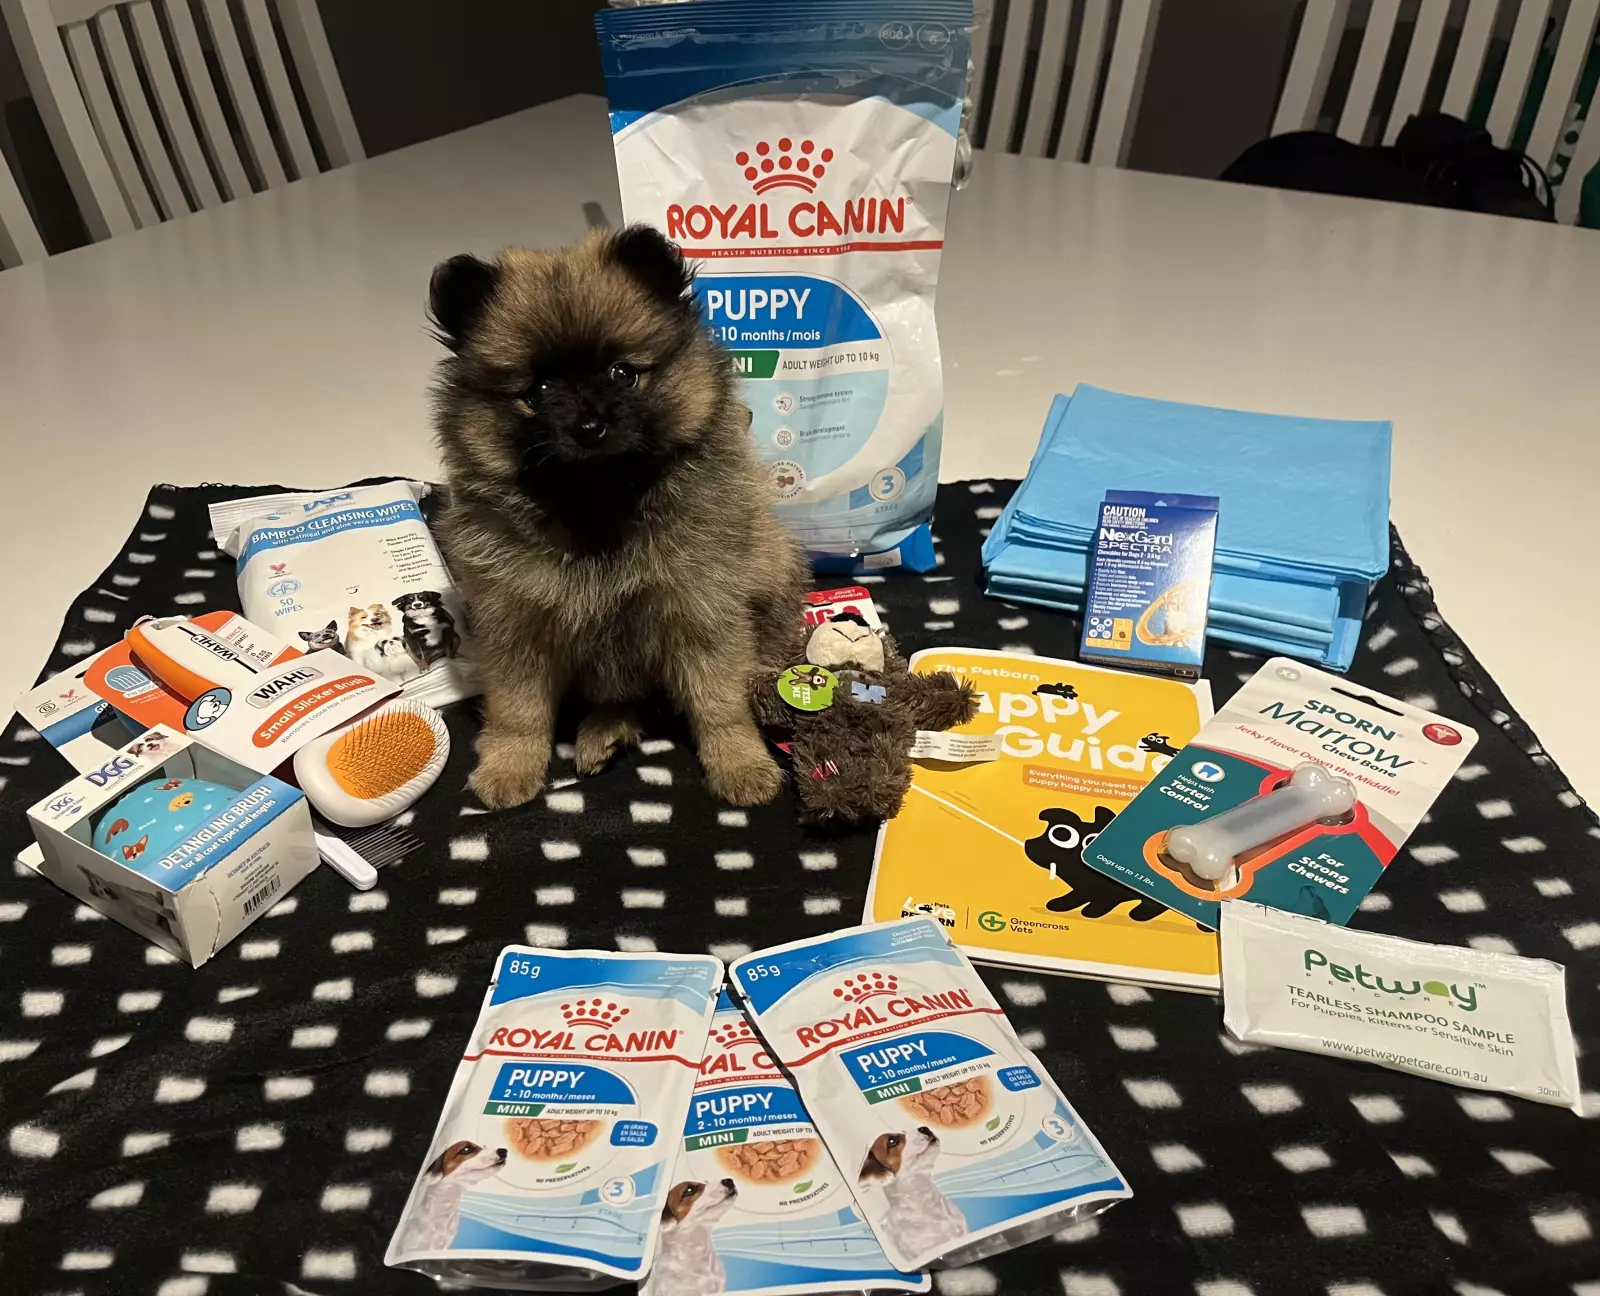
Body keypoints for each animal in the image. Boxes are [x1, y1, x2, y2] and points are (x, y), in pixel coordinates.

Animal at [429, 225, 809, 810]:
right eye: (538, 391)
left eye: (623, 374)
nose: (590, 427)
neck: (600, 506)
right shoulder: (517, 626)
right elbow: (518, 711)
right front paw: (509, 767)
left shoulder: (702, 614)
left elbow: (721, 703)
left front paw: (741, 764)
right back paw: (603, 733)